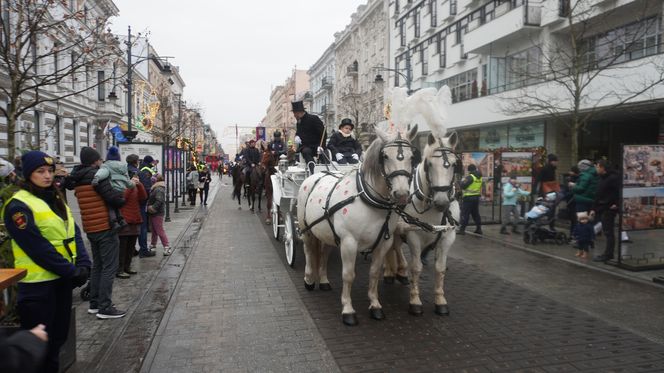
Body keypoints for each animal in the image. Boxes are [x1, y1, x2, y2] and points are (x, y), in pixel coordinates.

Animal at [298, 125, 418, 326]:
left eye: (412, 156)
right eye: (385, 156)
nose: (401, 194)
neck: (370, 199)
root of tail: (318, 173)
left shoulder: (383, 243)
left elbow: (374, 273)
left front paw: (375, 306)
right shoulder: (349, 242)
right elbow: (348, 275)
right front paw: (348, 310)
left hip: (327, 232)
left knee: (323, 254)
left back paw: (323, 281)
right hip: (306, 229)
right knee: (308, 251)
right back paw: (308, 279)